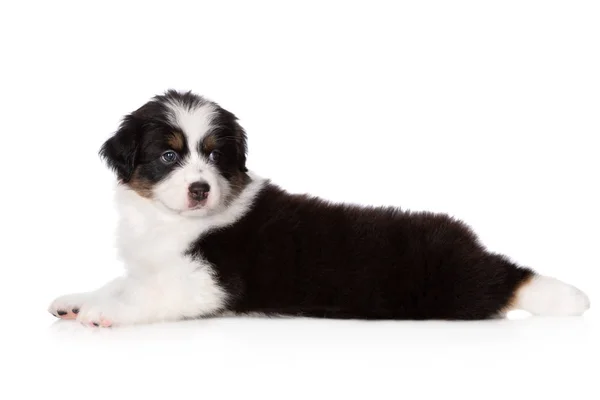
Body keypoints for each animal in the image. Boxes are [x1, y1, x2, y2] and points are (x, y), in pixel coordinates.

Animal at [48, 89, 592, 326]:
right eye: (168, 155)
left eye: (215, 156)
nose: (201, 189)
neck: (170, 220)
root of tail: (468, 245)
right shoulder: (152, 263)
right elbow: (123, 281)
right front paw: (76, 299)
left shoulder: (209, 282)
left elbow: (148, 297)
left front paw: (103, 313)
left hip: (447, 282)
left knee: (504, 280)